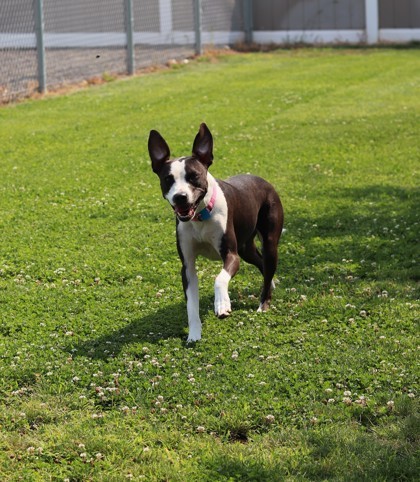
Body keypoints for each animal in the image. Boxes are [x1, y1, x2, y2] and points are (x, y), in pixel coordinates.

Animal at [149, 124, 284, 342]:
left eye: (194, 176)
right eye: (168, 179)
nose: (180, 197)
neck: (200, 217)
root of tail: (263, 181)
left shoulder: (231, 255)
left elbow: (219, 279)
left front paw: (222, 305)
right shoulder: (187, 267)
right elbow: (191, 305)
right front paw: (194, 333)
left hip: (269, 241)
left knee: (267, 259)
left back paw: (264, 304)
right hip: (246, 248)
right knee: (260, 261)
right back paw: (270, 283)